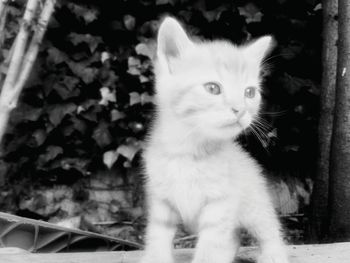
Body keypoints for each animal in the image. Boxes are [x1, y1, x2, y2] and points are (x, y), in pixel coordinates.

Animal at [141, 17, 288, 263]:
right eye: (212, 88)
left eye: (249, 92)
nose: (240, 110)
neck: (188, 152)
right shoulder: (161, 203)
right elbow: (157, 237)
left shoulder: (221, 206)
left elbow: (210, 249)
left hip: (255, 205)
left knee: (268, 231)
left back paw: (274, 255)